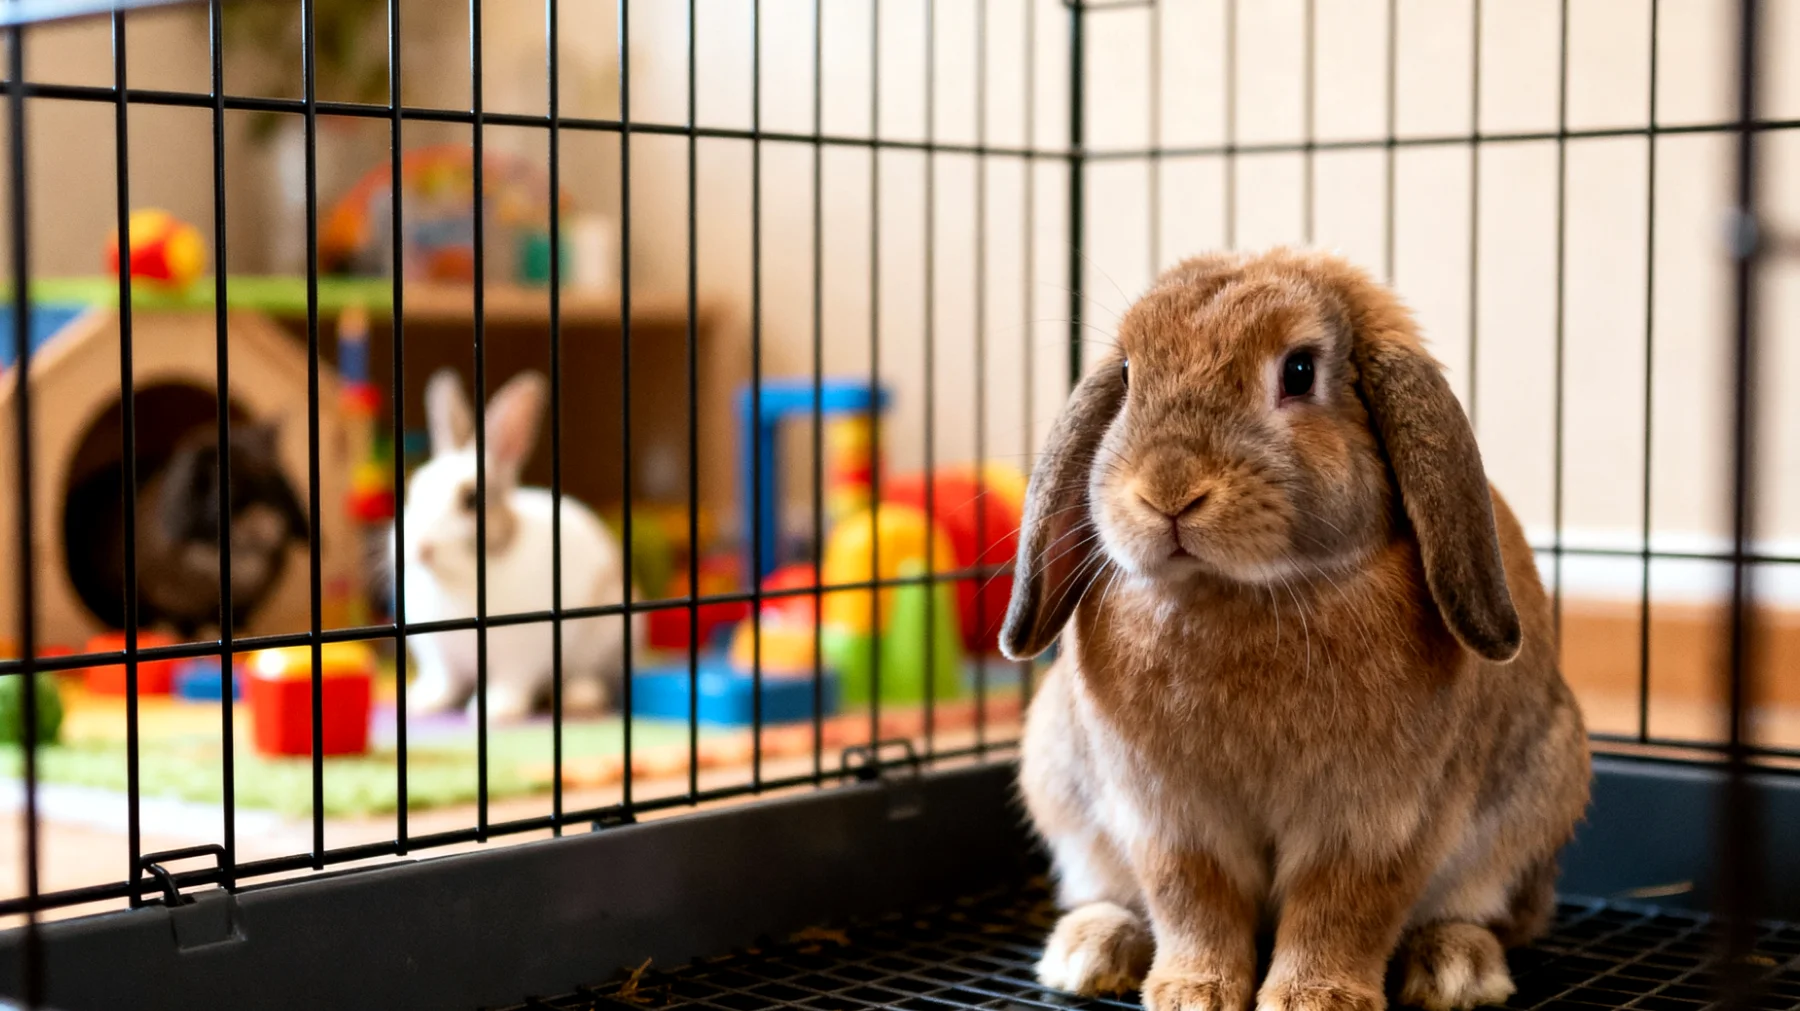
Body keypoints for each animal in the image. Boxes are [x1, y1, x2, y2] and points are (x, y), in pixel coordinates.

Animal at [393, 368, 640, 724]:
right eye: (416, 490)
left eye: (472, 501)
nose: (421, 548)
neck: (458, 581)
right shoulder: (439, 658)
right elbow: (444, 680)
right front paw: (422, 703)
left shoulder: (521, 655)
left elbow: (511, 681)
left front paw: (495, 711)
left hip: (605, 638)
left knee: (589, 675)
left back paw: (579, 698)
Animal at [1001, 249, 1590, 1011]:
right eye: (1127, 373)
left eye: (1300, 371)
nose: (1168, 492)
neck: (1237, 593)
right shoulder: (1170, 819)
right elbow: (1192, 901)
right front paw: (1192, 993)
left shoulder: (1377, 824)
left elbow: (1342, 909)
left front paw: (1316, 999)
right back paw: (1089, 951)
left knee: (1485, 915)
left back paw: (1455, 970)